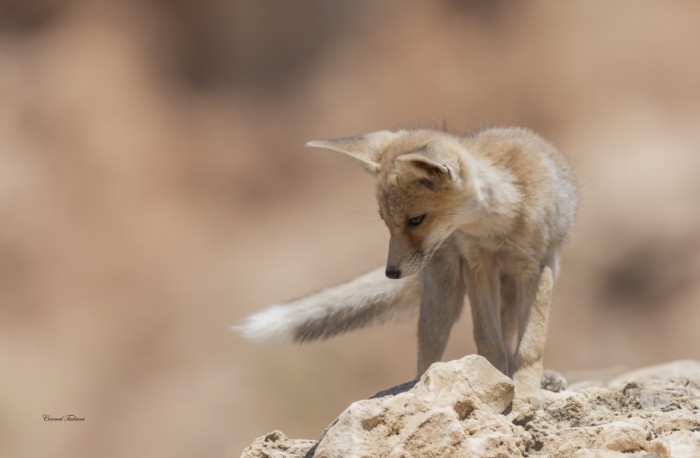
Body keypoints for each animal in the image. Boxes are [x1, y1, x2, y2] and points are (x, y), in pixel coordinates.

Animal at [238, 127, 576, 402]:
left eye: (416, 220)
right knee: (426, 362)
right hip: (442, 302)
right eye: (387, 223)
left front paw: (526, 392)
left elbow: (531, 344)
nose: (391, 273)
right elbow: (487, 340)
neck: (497, 227)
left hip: (520, 285)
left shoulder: (538, 266)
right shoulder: (477, 266)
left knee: (513, 335)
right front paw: (494, 380)